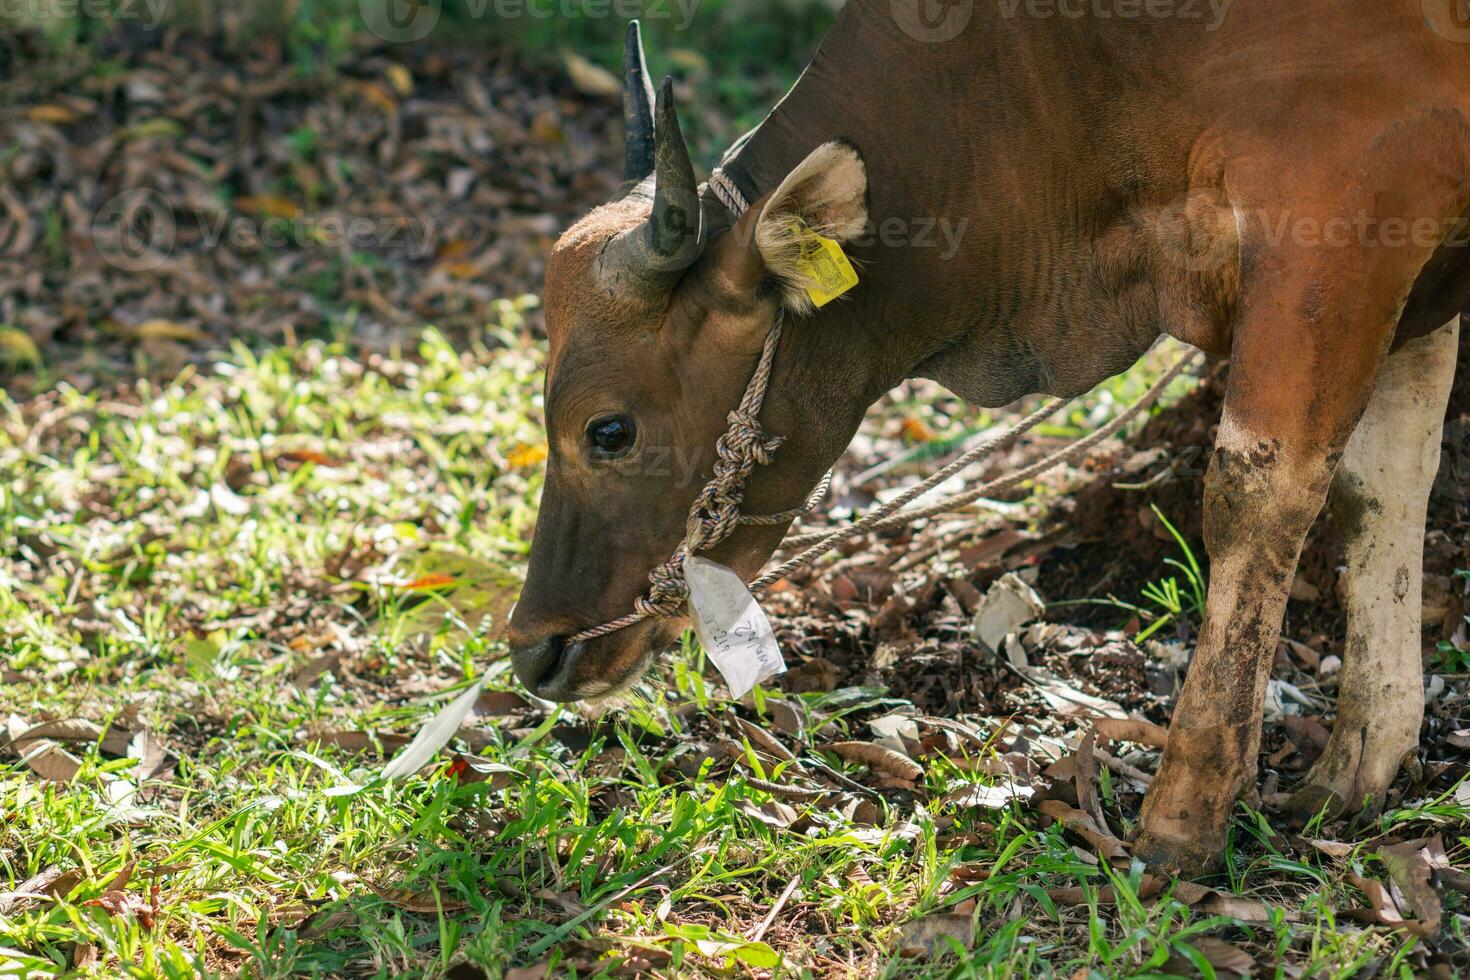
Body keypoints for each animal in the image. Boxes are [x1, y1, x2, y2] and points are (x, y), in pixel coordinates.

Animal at [511, 1, 1470, 875]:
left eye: (609, 429)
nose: (533, 649)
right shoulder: (1414, 257)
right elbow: (1380, 484)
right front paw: (1363, 755)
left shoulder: (1339, 206)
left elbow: (1257, 499)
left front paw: (1185, 814)